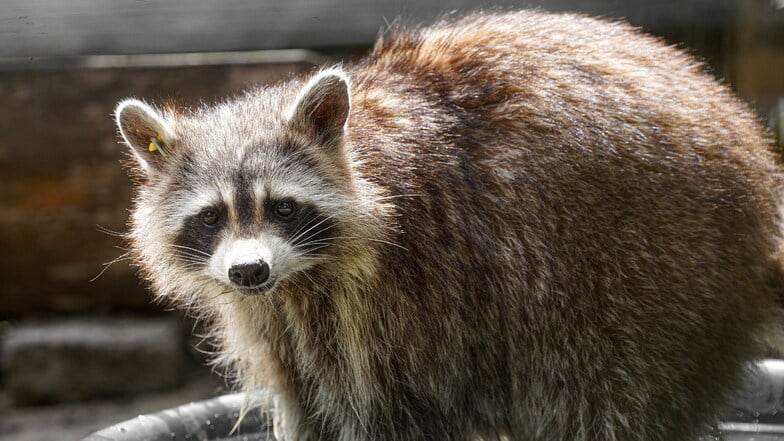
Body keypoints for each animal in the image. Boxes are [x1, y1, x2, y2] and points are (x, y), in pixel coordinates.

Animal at [113, 9, 784, 440]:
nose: (249, 269)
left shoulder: (419, 284)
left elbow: (399, 410)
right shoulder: (278, 318)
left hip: (642, 271)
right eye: (211, 216)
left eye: (282, 207)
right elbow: (311, 401)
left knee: (603, 398)